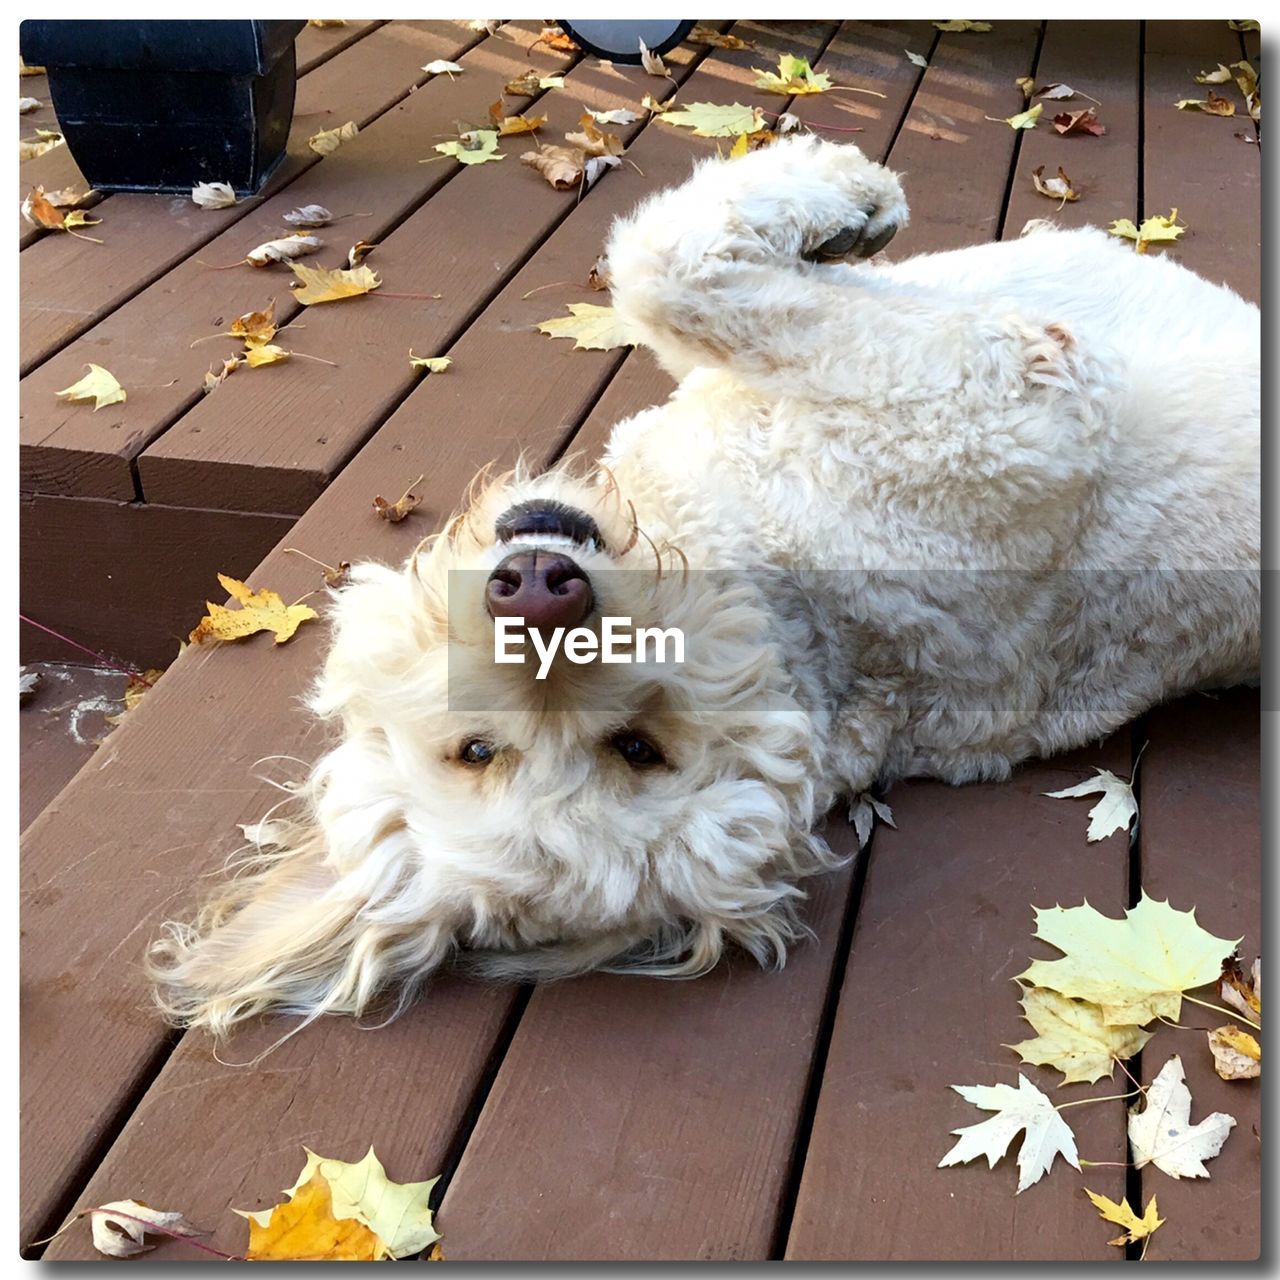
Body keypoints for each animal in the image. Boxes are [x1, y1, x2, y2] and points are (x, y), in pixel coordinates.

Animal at [152, 137, 1259, 1039]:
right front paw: (849, 196)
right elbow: (672, 270)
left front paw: (845, 220)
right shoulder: (1033, 388)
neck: (768, 576)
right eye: (642, 749)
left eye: (471, 752)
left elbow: (673, 279)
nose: (539, 592)